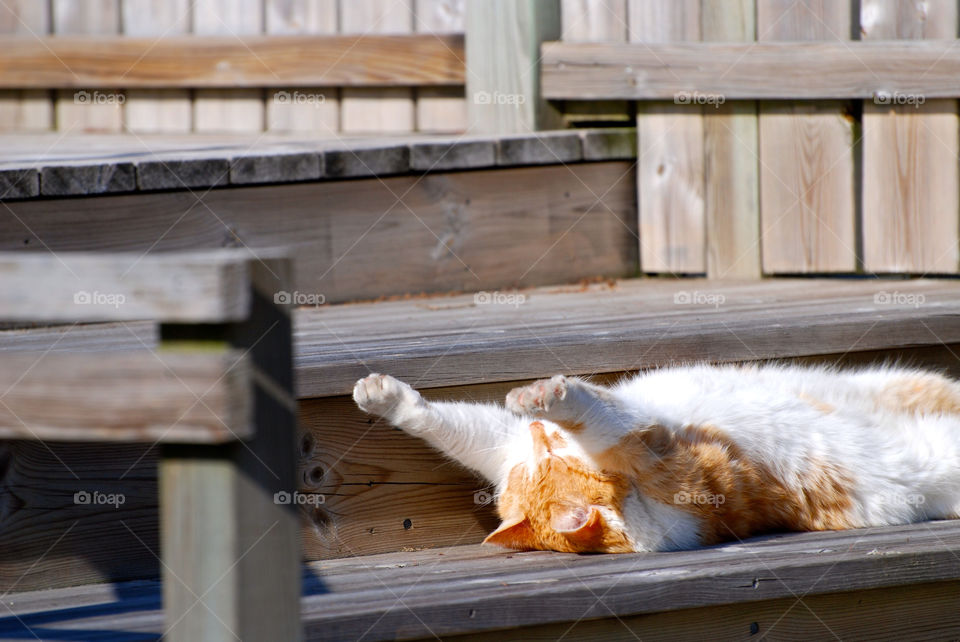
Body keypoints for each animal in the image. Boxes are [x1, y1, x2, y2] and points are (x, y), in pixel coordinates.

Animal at [350, 362, 960, 552]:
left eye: (545, 446)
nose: (540, 429)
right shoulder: (657, 453)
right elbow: (601, 419)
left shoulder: (508, 444)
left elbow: (452, 422)